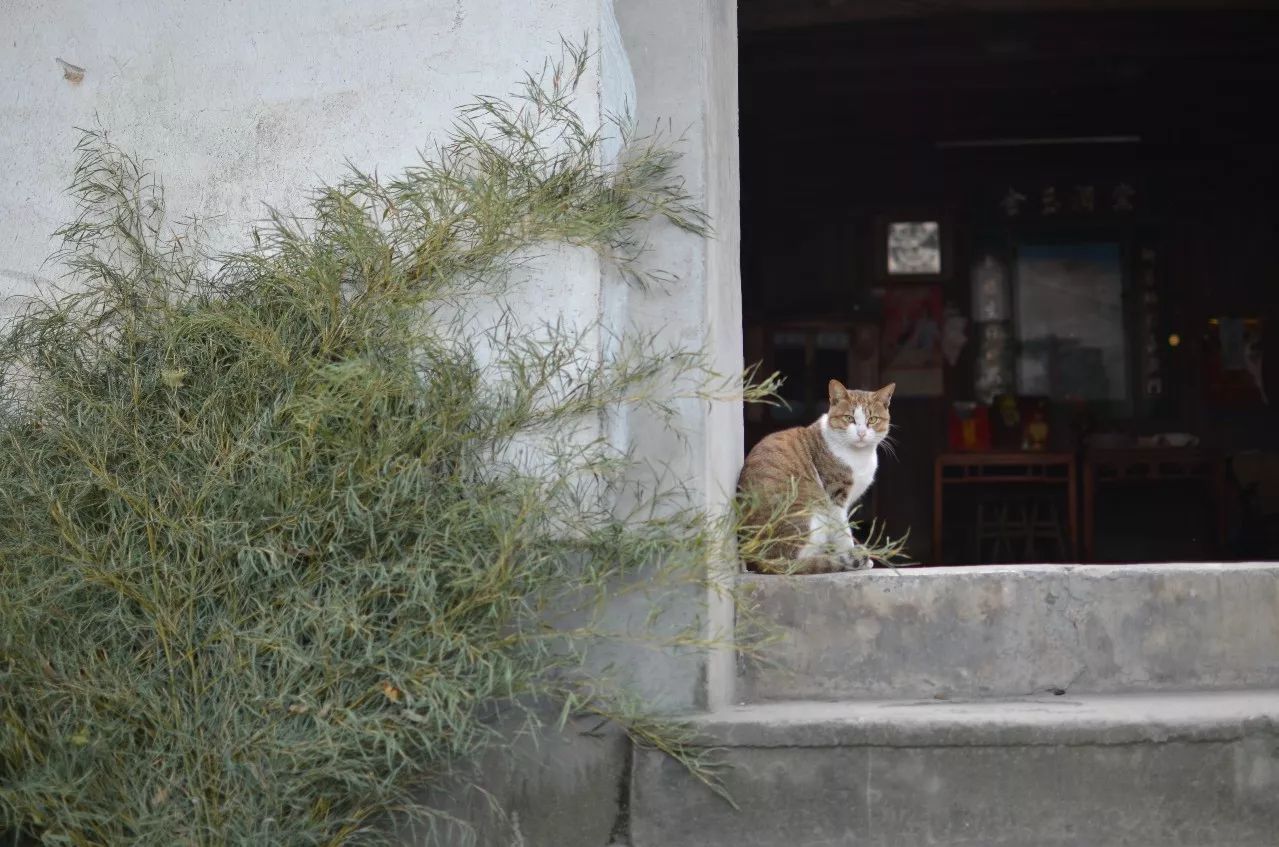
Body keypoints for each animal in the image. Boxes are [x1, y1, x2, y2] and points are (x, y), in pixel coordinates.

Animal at [736, 378, 895, 573]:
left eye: (872, 420)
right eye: (848, 418)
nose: (861, 433)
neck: (859, 455)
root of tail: (760, 558)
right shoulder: (835, 497)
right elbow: (843, 533)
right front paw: (852, 556)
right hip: (811, 514)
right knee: (797, 562)